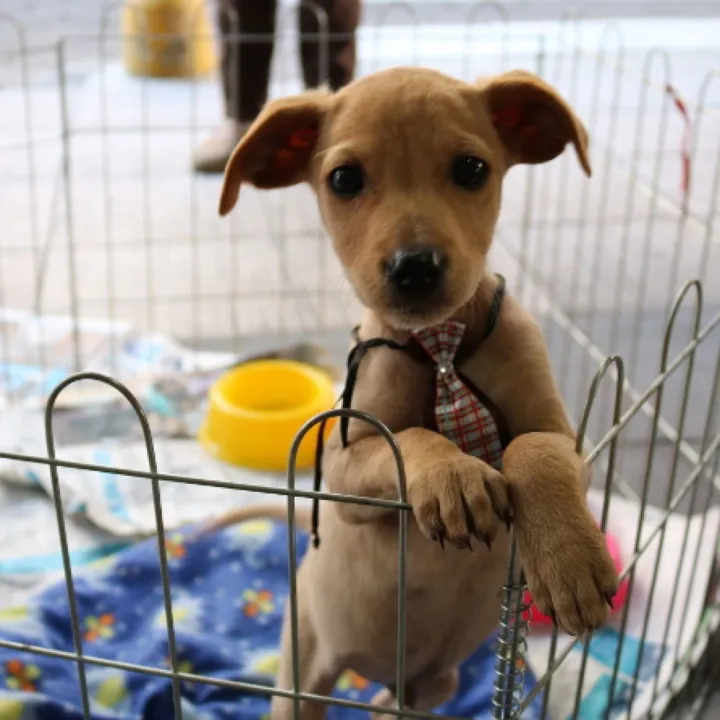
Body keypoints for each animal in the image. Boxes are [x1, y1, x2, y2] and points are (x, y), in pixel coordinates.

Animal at [215, 66, 620, 716]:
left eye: (472, 169)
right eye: (344, 179)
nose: (414, 267)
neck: (440, 346)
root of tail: (382, 673)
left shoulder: (563, 435)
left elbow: (532, 451)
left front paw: (569, 562)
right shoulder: (343, 471)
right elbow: (407, 438)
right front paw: (452, 477)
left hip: (435, 684)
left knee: (397, 704)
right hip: (305, 667)